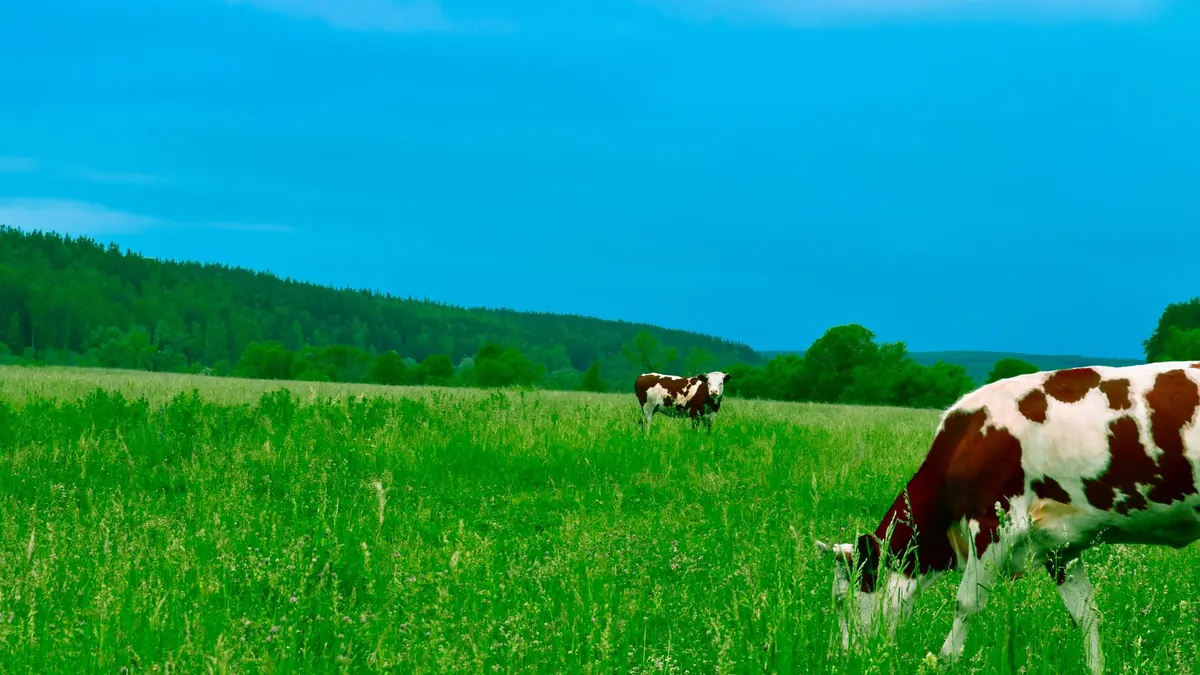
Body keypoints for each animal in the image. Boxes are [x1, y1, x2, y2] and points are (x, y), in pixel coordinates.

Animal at [815, 361, 1200, 675]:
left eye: (842, 600)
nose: (840, 659)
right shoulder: (1061, 546)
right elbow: (1086, 614)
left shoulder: (992, 525)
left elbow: (966, 604)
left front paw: (946, 662)